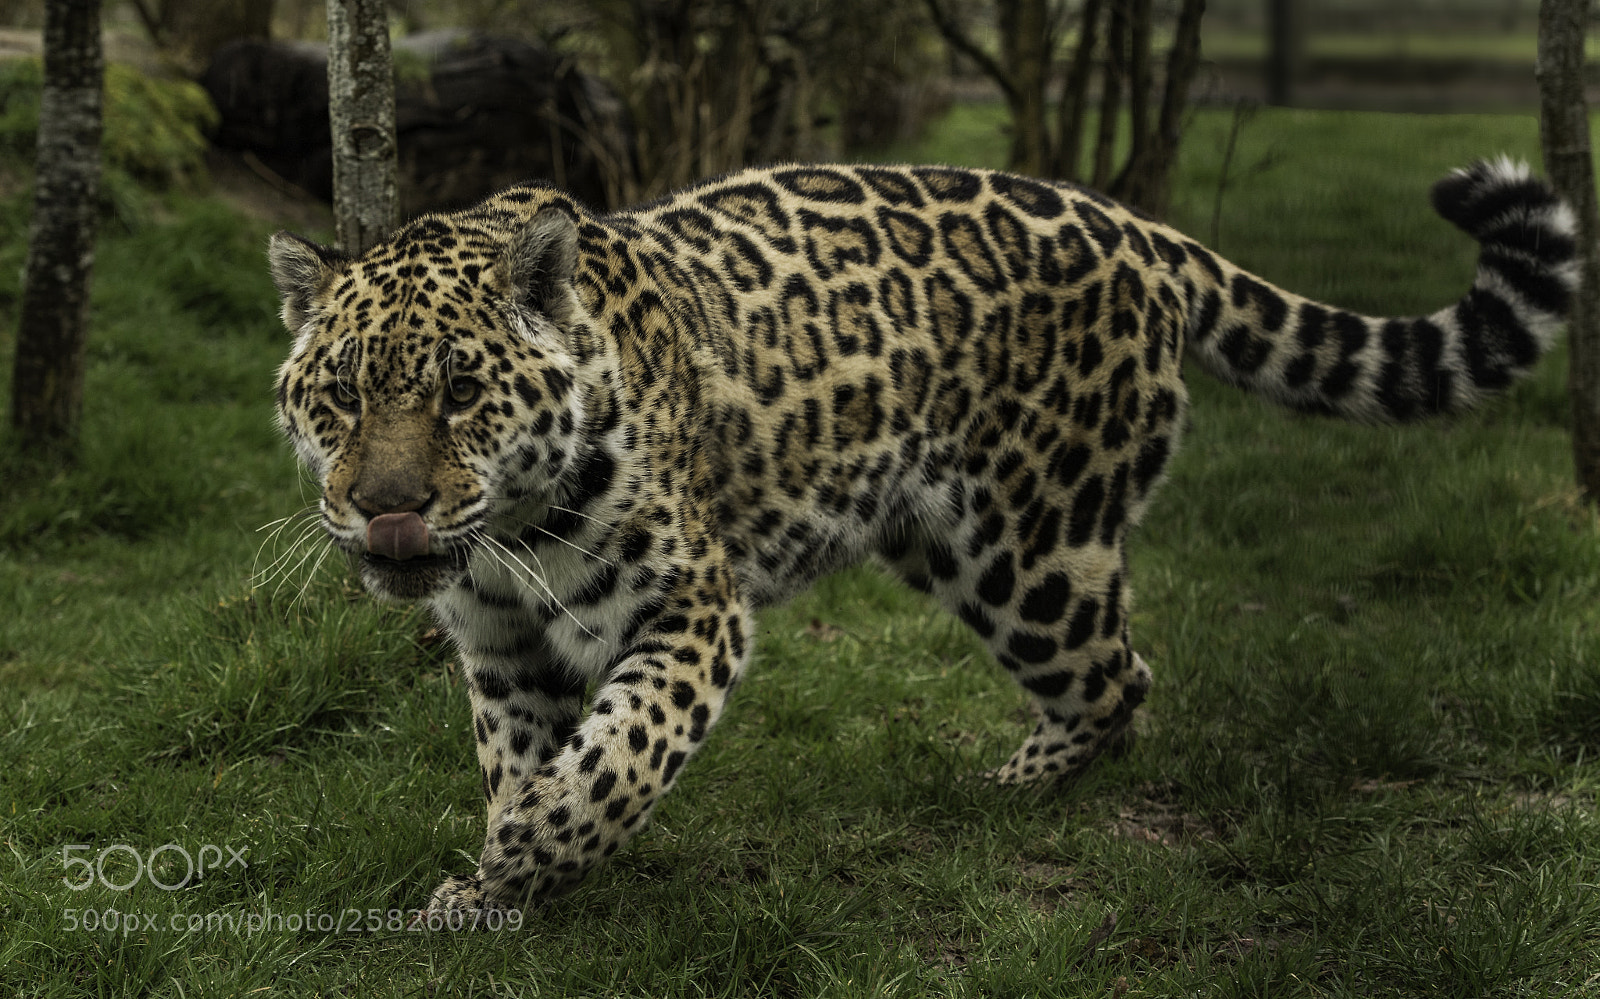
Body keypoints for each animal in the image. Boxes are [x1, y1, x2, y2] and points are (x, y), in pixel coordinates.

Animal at [268, 158, 1574, 915]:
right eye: (337, 393)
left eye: (460, 392)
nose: (387, 508)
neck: (513, 532)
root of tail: (1139, 229)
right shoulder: (499, 646)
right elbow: (519, 753)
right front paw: (502, 881)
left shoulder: (692, 607)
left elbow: (624, 746)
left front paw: (541, 842)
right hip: (949, 540)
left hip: (1027, 544)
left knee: (1119, 673)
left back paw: (1009, 790)